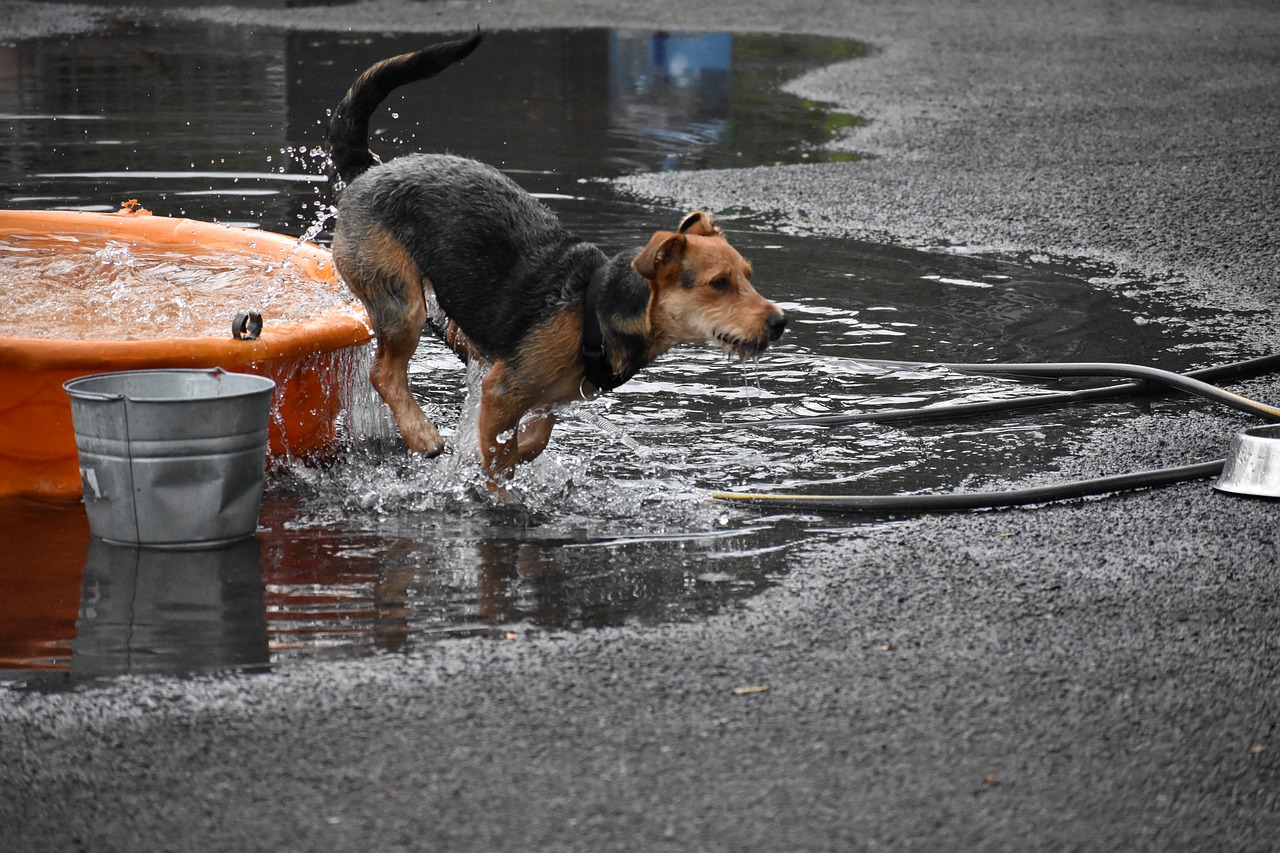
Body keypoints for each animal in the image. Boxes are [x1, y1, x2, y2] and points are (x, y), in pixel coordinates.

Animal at [327, 34, 788, 484]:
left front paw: (517, 450)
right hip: (401, 301)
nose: (780, 322)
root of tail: (369, 170)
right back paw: (422, 433)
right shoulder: (501, 391)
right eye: (719, 283)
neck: (597, 310)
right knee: (383, 373)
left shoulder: (545, 397)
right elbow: (500, 462)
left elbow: (536, 436)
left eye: (747, 276)